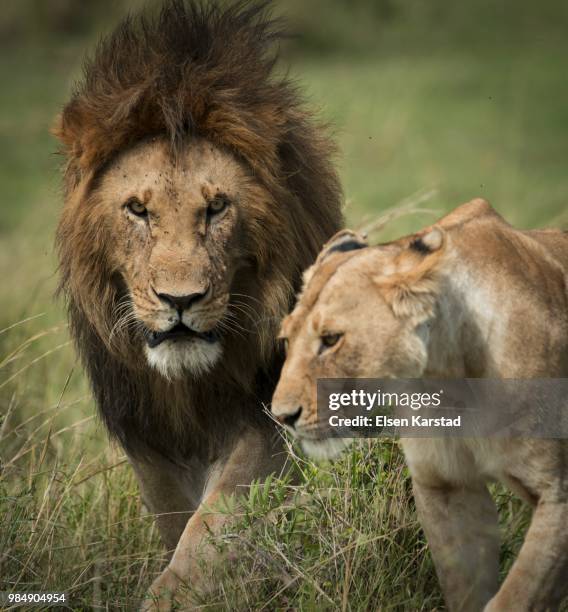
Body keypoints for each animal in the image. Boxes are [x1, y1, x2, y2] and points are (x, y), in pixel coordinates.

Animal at [54, 2, 342, 608]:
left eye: (216, 207)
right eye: (137, 210)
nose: (180, 300)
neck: (188, 387)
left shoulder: (265, 419)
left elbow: (209, 532)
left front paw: (173, 596)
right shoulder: (147, 438)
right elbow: (174, 520)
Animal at [270, 198, 568, 608]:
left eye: (331, 340)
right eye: (286, 340)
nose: (282, 416)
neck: (452, 384)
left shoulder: (559, 494)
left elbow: (516, 598)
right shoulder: (445, 489)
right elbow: (465, 589)